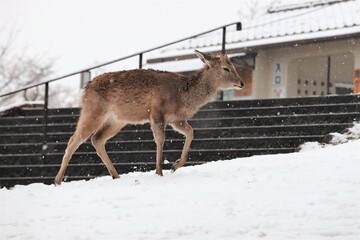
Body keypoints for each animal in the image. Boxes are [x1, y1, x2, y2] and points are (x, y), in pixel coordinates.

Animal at [53, 50, 245, 186]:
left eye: (234, 67)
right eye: (226, 68)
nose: (241, 83)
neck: (185, 96)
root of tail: (85, 90)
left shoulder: (176, 119)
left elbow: (191, 132)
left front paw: (174, 165)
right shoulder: (156, 113)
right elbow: (160, 139)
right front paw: (159, 171)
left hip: (117, 120)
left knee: (97, 138)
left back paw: (116, 175)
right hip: (93, 111)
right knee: (74, 140)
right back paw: (57, 180)